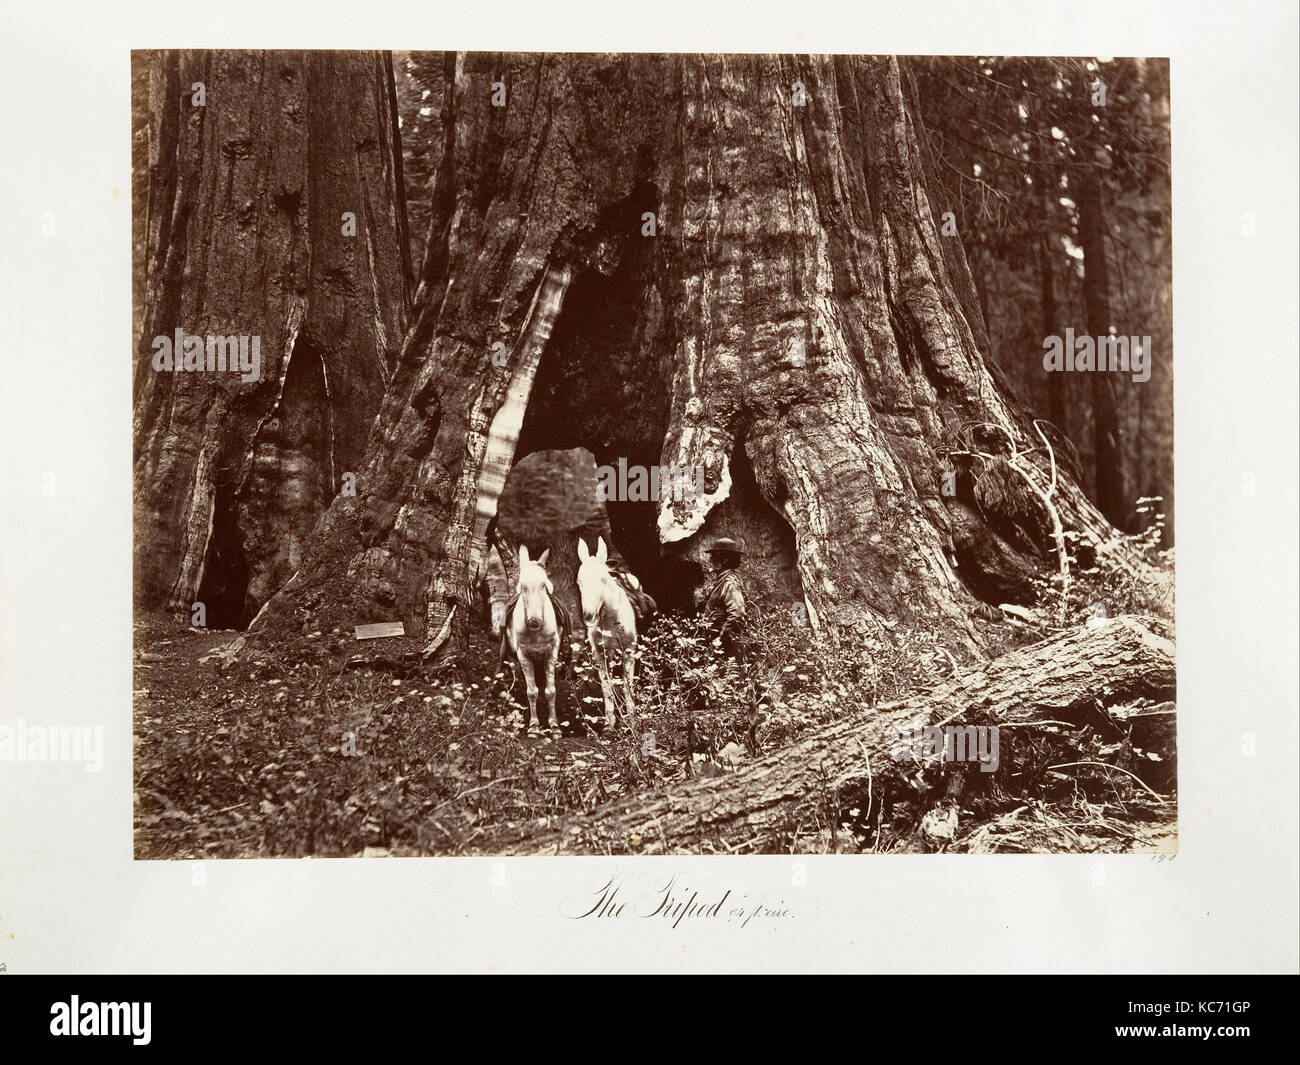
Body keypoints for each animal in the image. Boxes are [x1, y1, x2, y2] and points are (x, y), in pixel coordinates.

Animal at [501, 548, 564, 733]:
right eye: (523, 587)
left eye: (544, 585)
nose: (534, 621)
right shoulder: (524, 655)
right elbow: (532, 691)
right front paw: (534, 726)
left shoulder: (551, 653)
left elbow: (550, 691)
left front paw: (554, 725)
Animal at [579, 538, 639, 728]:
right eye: (579, 581)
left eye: (603, 580)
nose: (589, 616)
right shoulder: (600, 653)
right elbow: (606, 687)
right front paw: (609, 723)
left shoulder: (629, 651)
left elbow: (627, 685)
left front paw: (631, 719)